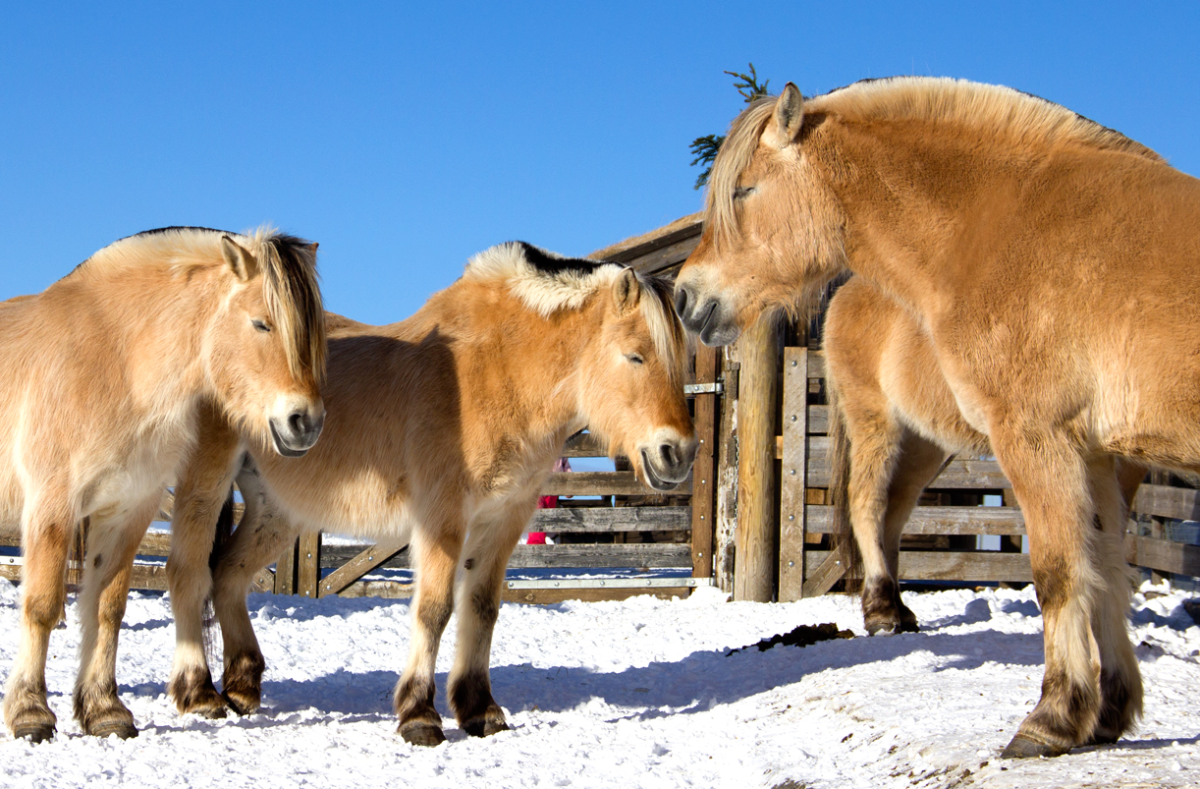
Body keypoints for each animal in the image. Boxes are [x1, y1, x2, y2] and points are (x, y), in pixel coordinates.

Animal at [0, 226, 327, 743]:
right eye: (261, 324)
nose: (305, 423)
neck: (111, 361)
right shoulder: (52, 506)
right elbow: (42, 605)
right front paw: (31, 712)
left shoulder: (127, 510)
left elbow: (107, 607)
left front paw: (104, 709)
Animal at [163, 241, 697, 746]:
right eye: (634, 355)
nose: (679, 453)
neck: (496, 370)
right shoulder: (442, 518)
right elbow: (435, 609)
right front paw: (420, 715)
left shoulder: (503, 519)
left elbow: (482, 608)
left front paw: (480, 710)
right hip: (205, 485)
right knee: (187, 573)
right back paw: (200, 694)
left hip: (278, 510)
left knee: (228, 575)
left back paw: (241, 687)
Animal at [823, 277, 1146, 645]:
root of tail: (848, 290)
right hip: (874, 420)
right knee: (867, 502)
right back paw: (881, 611)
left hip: (923, 441)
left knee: (895, 509)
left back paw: (898, 609)